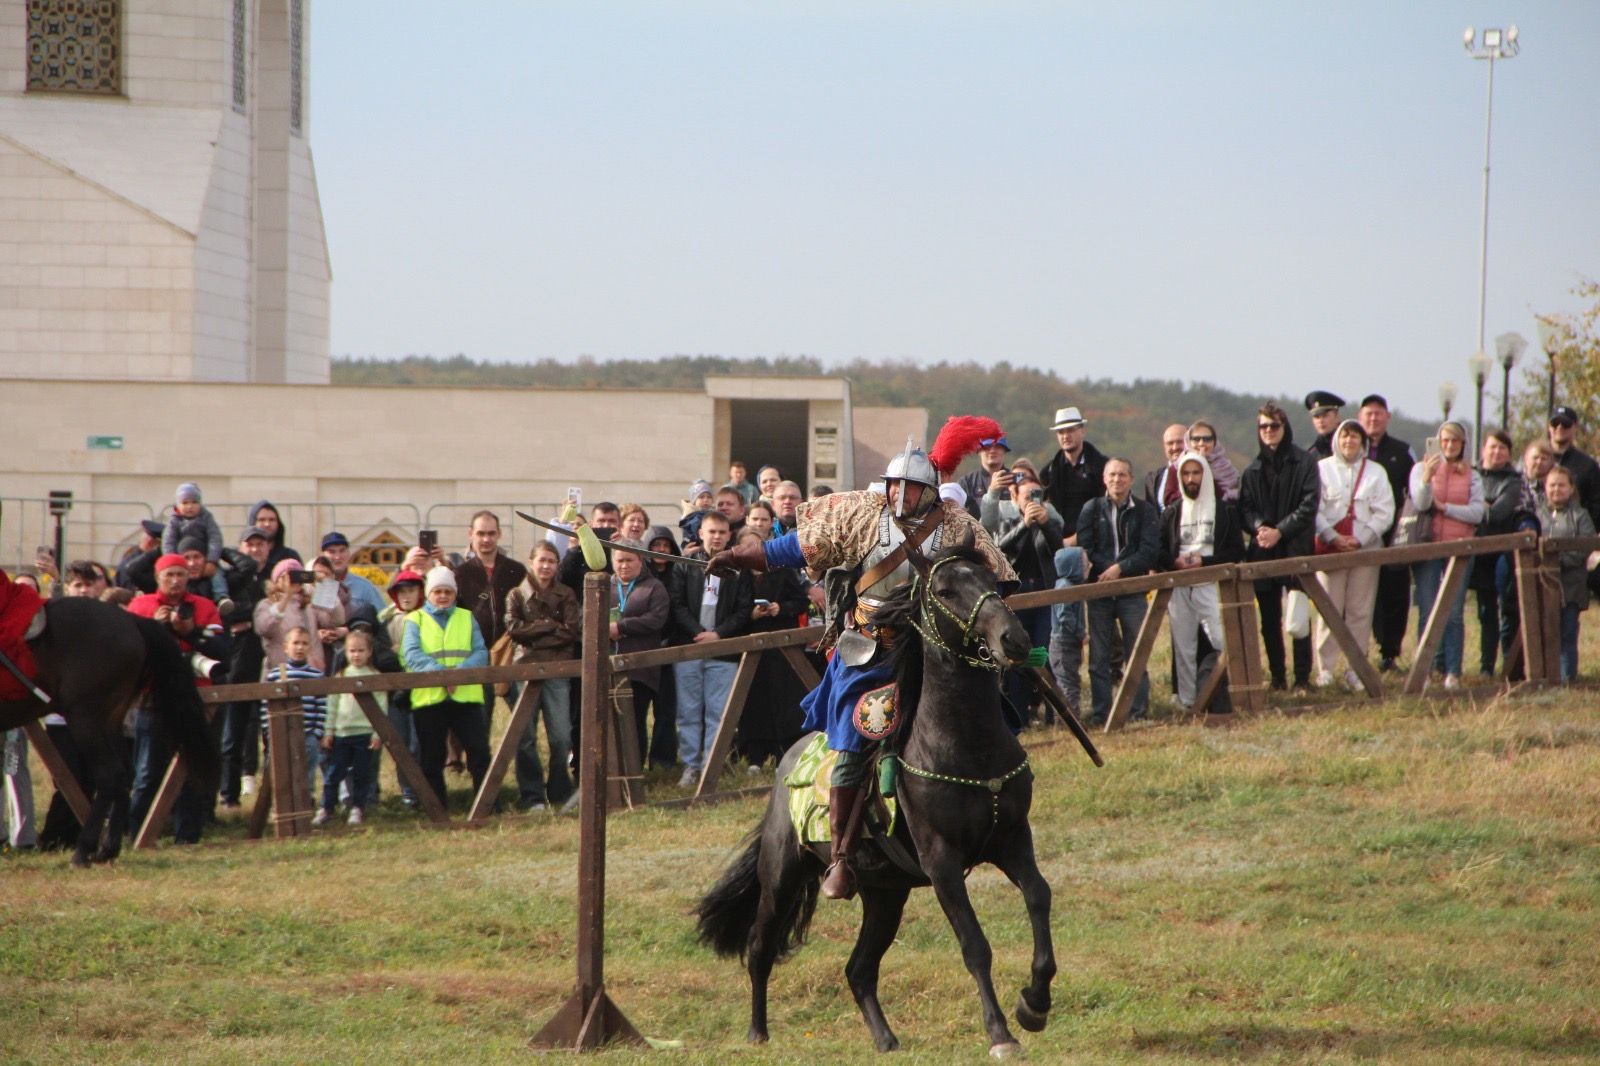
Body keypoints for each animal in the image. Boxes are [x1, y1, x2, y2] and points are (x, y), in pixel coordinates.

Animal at [0, 592, 219, 870]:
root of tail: (131, 620)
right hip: (109, 720)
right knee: (123, 773)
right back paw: (108, 849)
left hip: (85, 717)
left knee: (109, 775)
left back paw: (83, 851)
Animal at [694, 547, 1056, 1056]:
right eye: (945, 591)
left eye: (994, 584)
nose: (1015, 639)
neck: (966, 743)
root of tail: (787, 762)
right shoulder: (942, 863)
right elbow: (974, 944)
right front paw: (1001, 1033)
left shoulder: (1011, 841)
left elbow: (1039, 897)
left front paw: (1034, 1004)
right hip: (782, 877)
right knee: (761, 947)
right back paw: (758, 1032)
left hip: (886, 894)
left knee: (859, 969)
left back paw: (886, 1039)